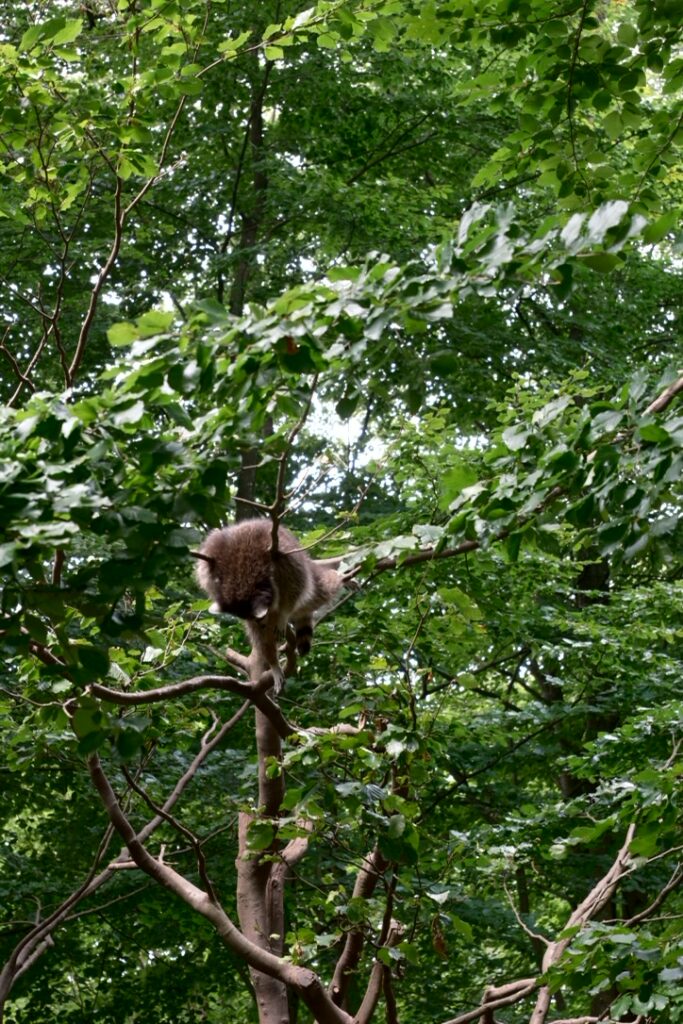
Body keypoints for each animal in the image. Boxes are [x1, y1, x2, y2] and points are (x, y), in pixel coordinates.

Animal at [192, 520, 342, 688]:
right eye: (254, 619)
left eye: (259, 618)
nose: (261, 622)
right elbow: (262, 639)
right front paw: (273, 663)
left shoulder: (283, 557)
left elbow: (297, 585)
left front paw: (284, 613)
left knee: (320, 591)